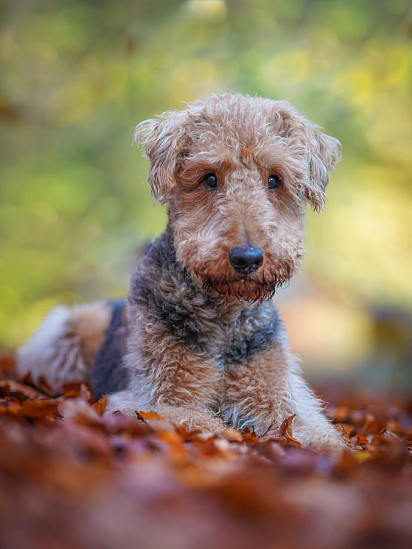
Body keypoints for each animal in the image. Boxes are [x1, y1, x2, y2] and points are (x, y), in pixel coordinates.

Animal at [16, 94, 344, 452]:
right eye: (209, 178)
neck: (224, 317)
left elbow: (320, 436)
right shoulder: (155, 399)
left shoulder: (280, 398)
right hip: (70, 329)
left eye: (274, 179)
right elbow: (209, 425)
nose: (247, 258)